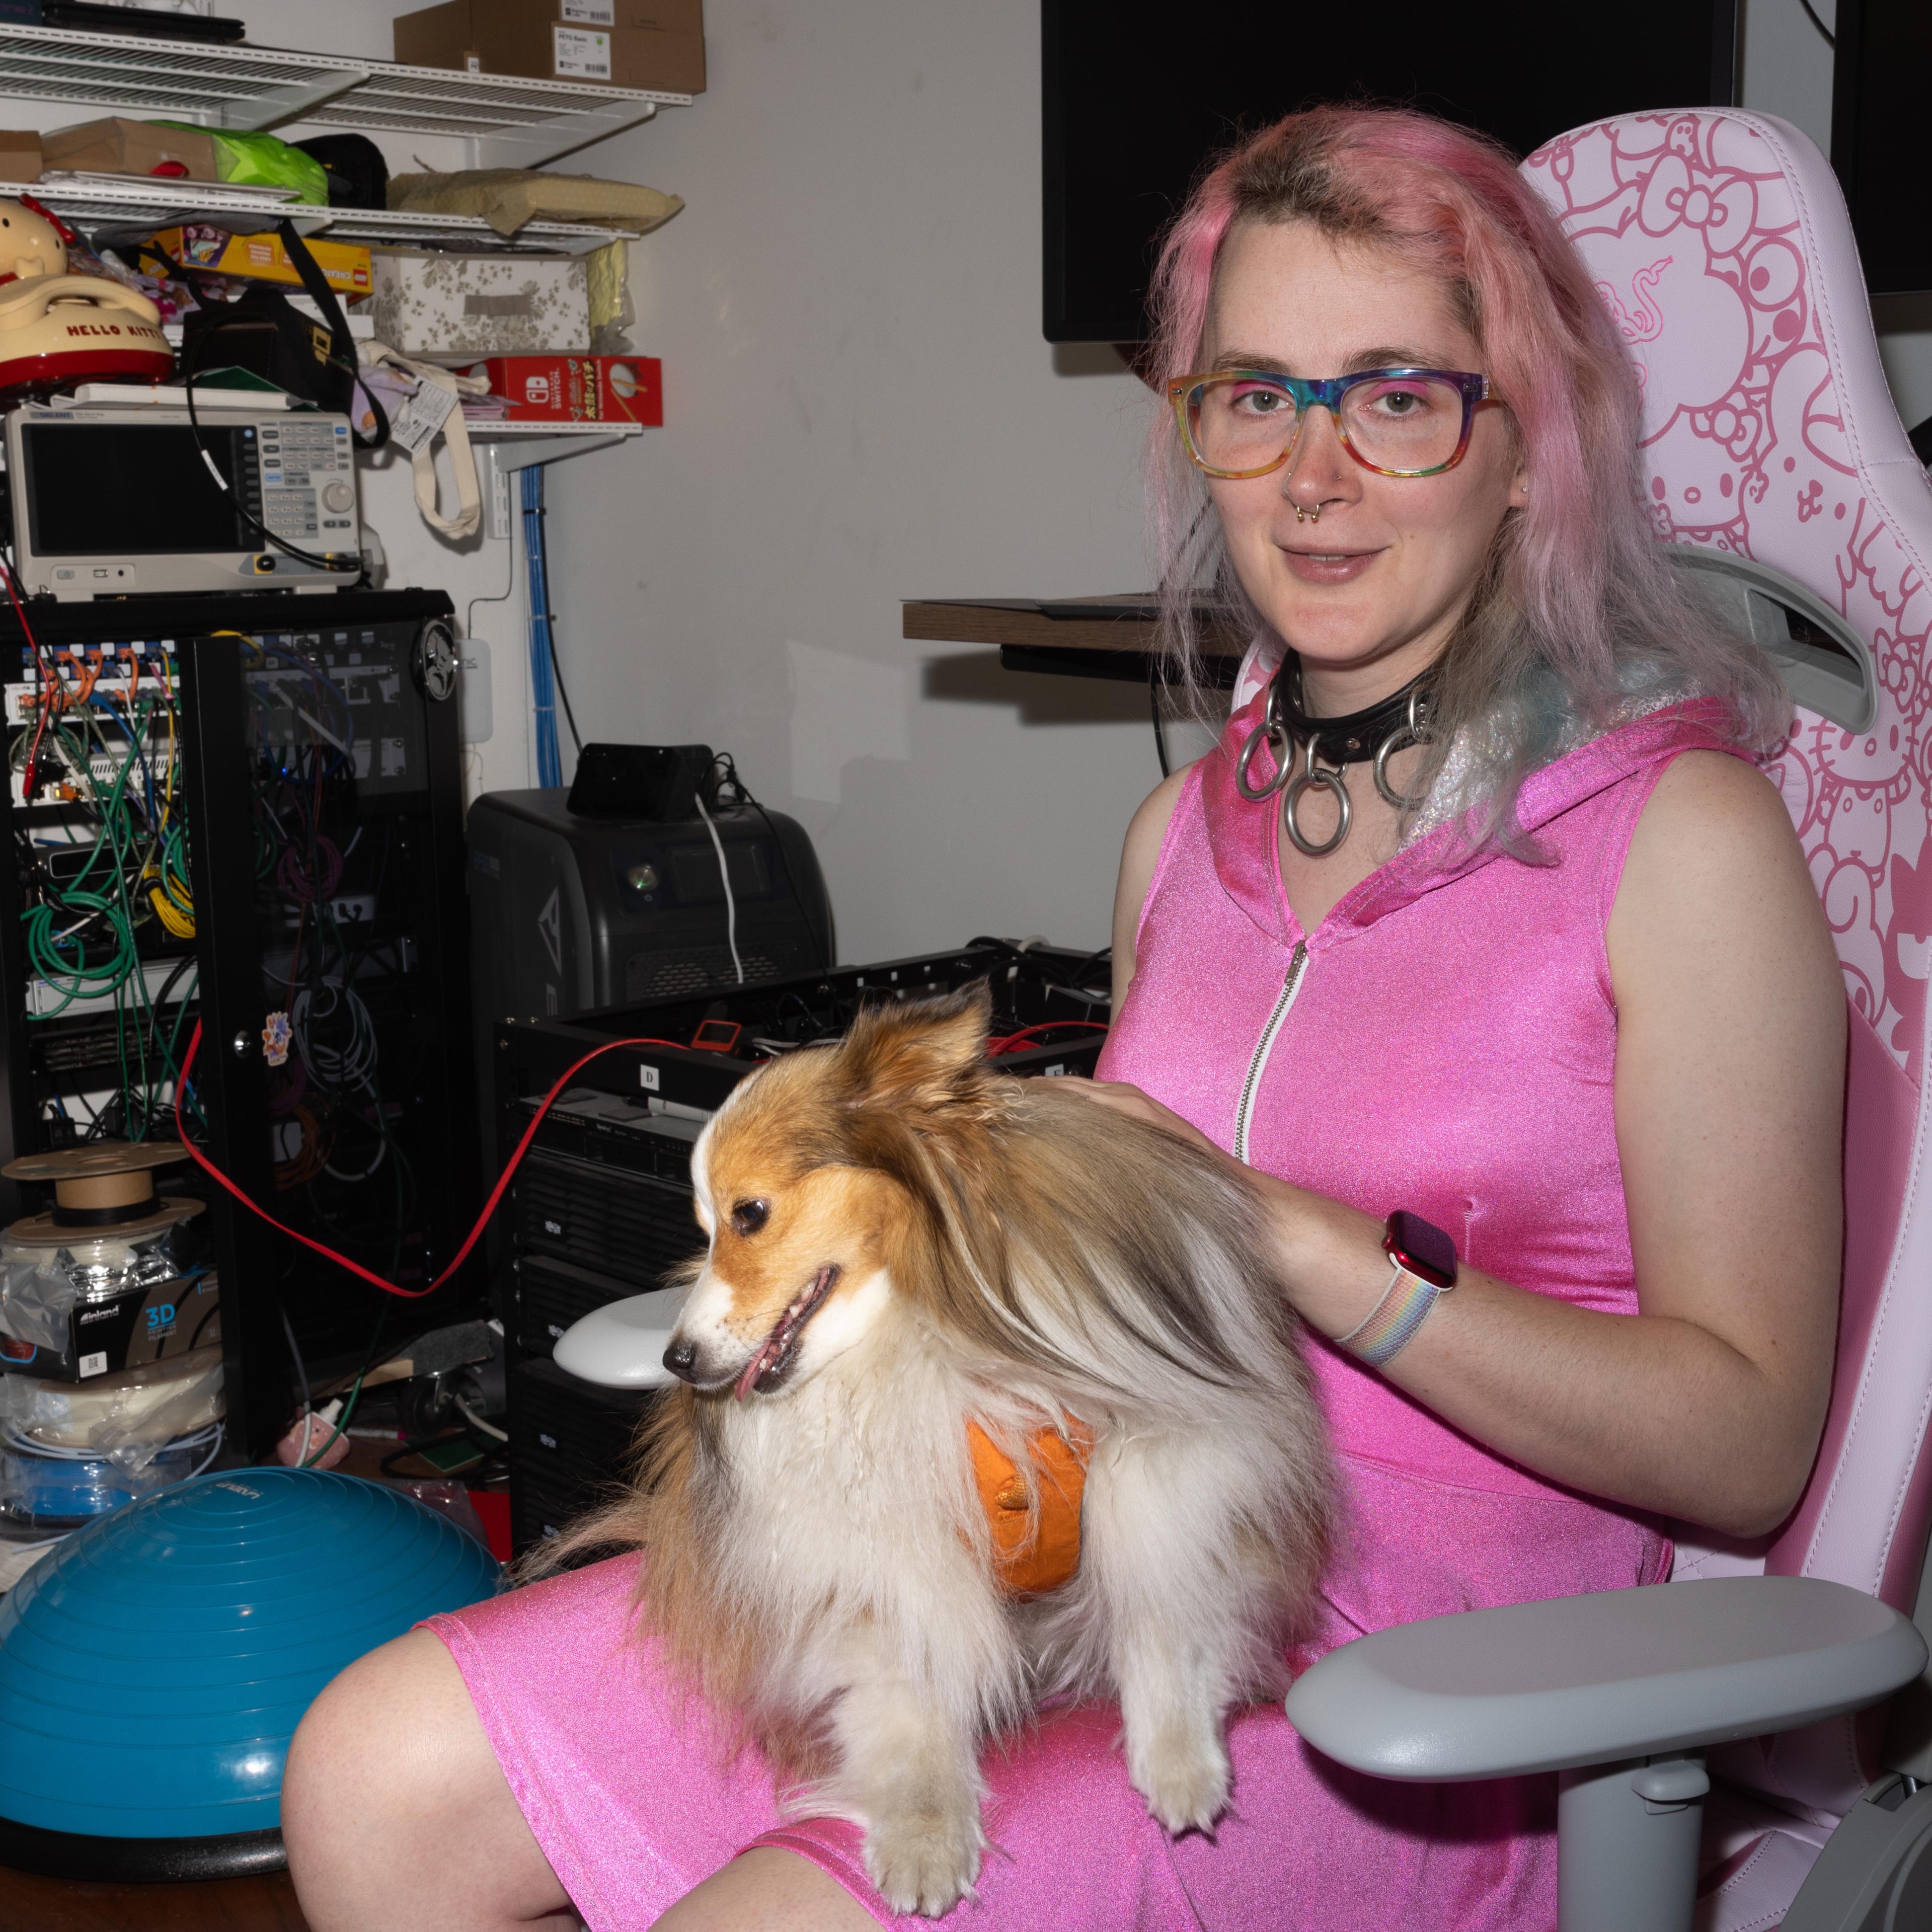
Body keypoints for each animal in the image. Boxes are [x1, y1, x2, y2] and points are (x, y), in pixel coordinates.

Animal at [560, 989, 1337, 1924]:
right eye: (704, 1228)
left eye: (749, 1212)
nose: (675, 1362)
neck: (941, 1327)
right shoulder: (876, 1550)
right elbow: (909, 1688)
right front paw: (924, 1835)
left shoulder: (1174, 1457)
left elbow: (1158, 1591)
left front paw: (1181, 1759)